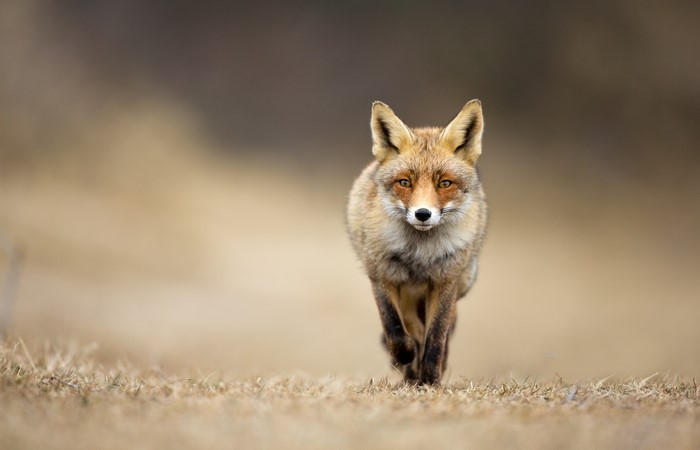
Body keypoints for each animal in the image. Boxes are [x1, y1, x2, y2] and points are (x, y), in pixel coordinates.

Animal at [346, 100, 488, 385]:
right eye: (405, 182)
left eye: (444, 183)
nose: (423, 214)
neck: (419, 253)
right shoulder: (382, 276)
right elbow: (394, 327)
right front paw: (406, 356)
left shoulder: (445, 282)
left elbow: (436, 337)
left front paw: (431, 380)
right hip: (407, 292)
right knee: (412, 326)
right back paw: (409, 369)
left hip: (460, 282)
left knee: (443, 329)